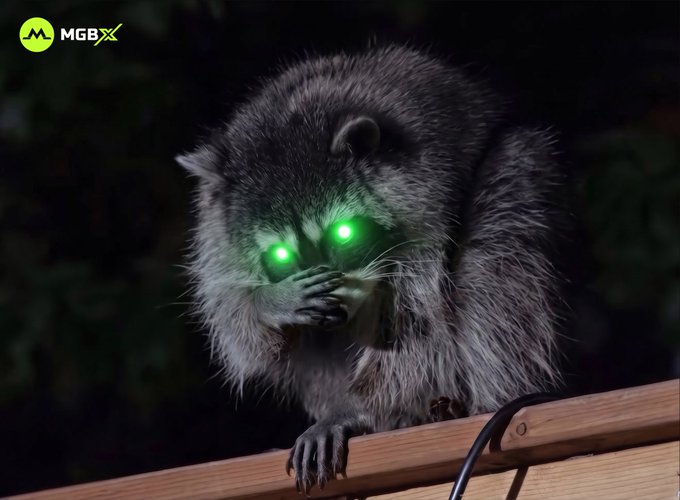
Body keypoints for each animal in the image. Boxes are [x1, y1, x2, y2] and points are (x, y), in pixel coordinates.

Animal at [177, 44, 567, 493]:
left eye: (343, 232)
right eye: (279, 254)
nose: (338, 301)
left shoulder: (427, 207)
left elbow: (418, 322)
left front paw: (360, 410)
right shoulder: (214, 231)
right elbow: (236, 323)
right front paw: (268, 302)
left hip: (514, 172)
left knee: (496, 252)